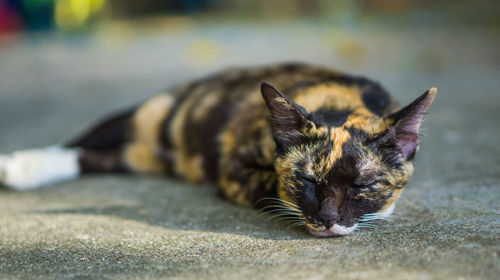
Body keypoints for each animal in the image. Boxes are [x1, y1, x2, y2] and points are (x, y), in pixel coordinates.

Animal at [0, 63, 436, 236]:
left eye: (362, 186)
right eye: (306, 180)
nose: (327, 219)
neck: (340, 104)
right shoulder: (234, 171)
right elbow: (269, 187)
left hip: (138, 155)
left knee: (97, 156)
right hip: (145, 116)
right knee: (80, 142)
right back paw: (19, 166)